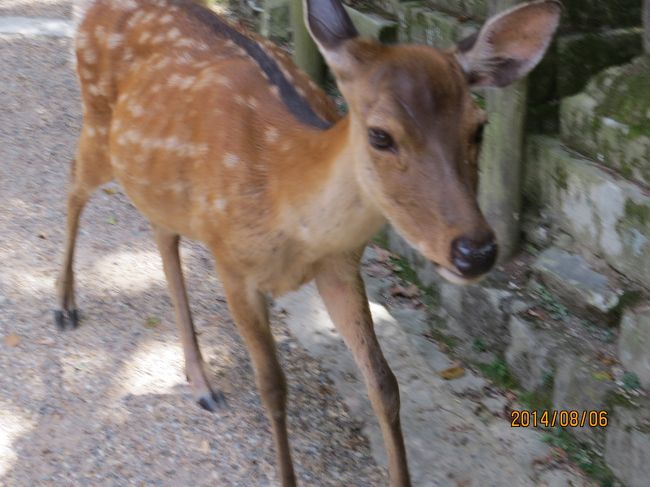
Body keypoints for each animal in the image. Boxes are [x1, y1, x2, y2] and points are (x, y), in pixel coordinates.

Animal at [57, 0, 561, 485]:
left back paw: (200, 380)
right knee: (75, 185)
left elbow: (385, 384)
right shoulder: (232, 263)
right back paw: (64, 307)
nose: (476, 251)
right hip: (98, 126)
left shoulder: (341, 267)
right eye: (381, 134)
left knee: (162, 235)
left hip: (159, 183)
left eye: (479, 127)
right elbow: (273, 387)